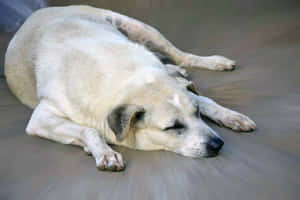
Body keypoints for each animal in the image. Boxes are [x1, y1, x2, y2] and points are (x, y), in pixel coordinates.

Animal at [4, 5, 255, 172]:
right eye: (173, 127)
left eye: (197, 114)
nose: (218, 144)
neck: (127, 78)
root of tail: (43, 10)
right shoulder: (41, 119)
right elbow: (89, 130)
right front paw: (104, 152)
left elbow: (205, 99)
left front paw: (231, 116)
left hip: (141, 29)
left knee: (181, 55)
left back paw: (211, 62)